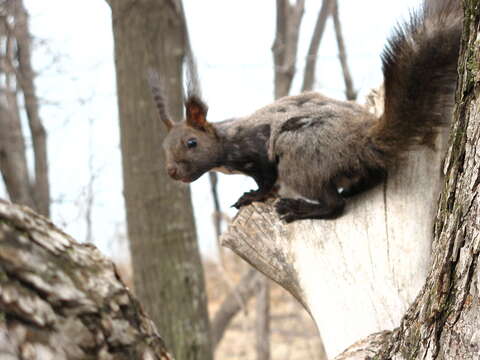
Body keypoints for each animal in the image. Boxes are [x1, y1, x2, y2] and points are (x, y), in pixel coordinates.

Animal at [148, 0, 464, 222]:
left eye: (191, 142)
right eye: (163, 147)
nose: (171, 171)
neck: (227, 142)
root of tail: (362, 140)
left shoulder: (258, 151)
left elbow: (266, 181)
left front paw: (252, 195)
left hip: (299, 156)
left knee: (335, 205)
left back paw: (299, 208)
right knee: (370, 178)